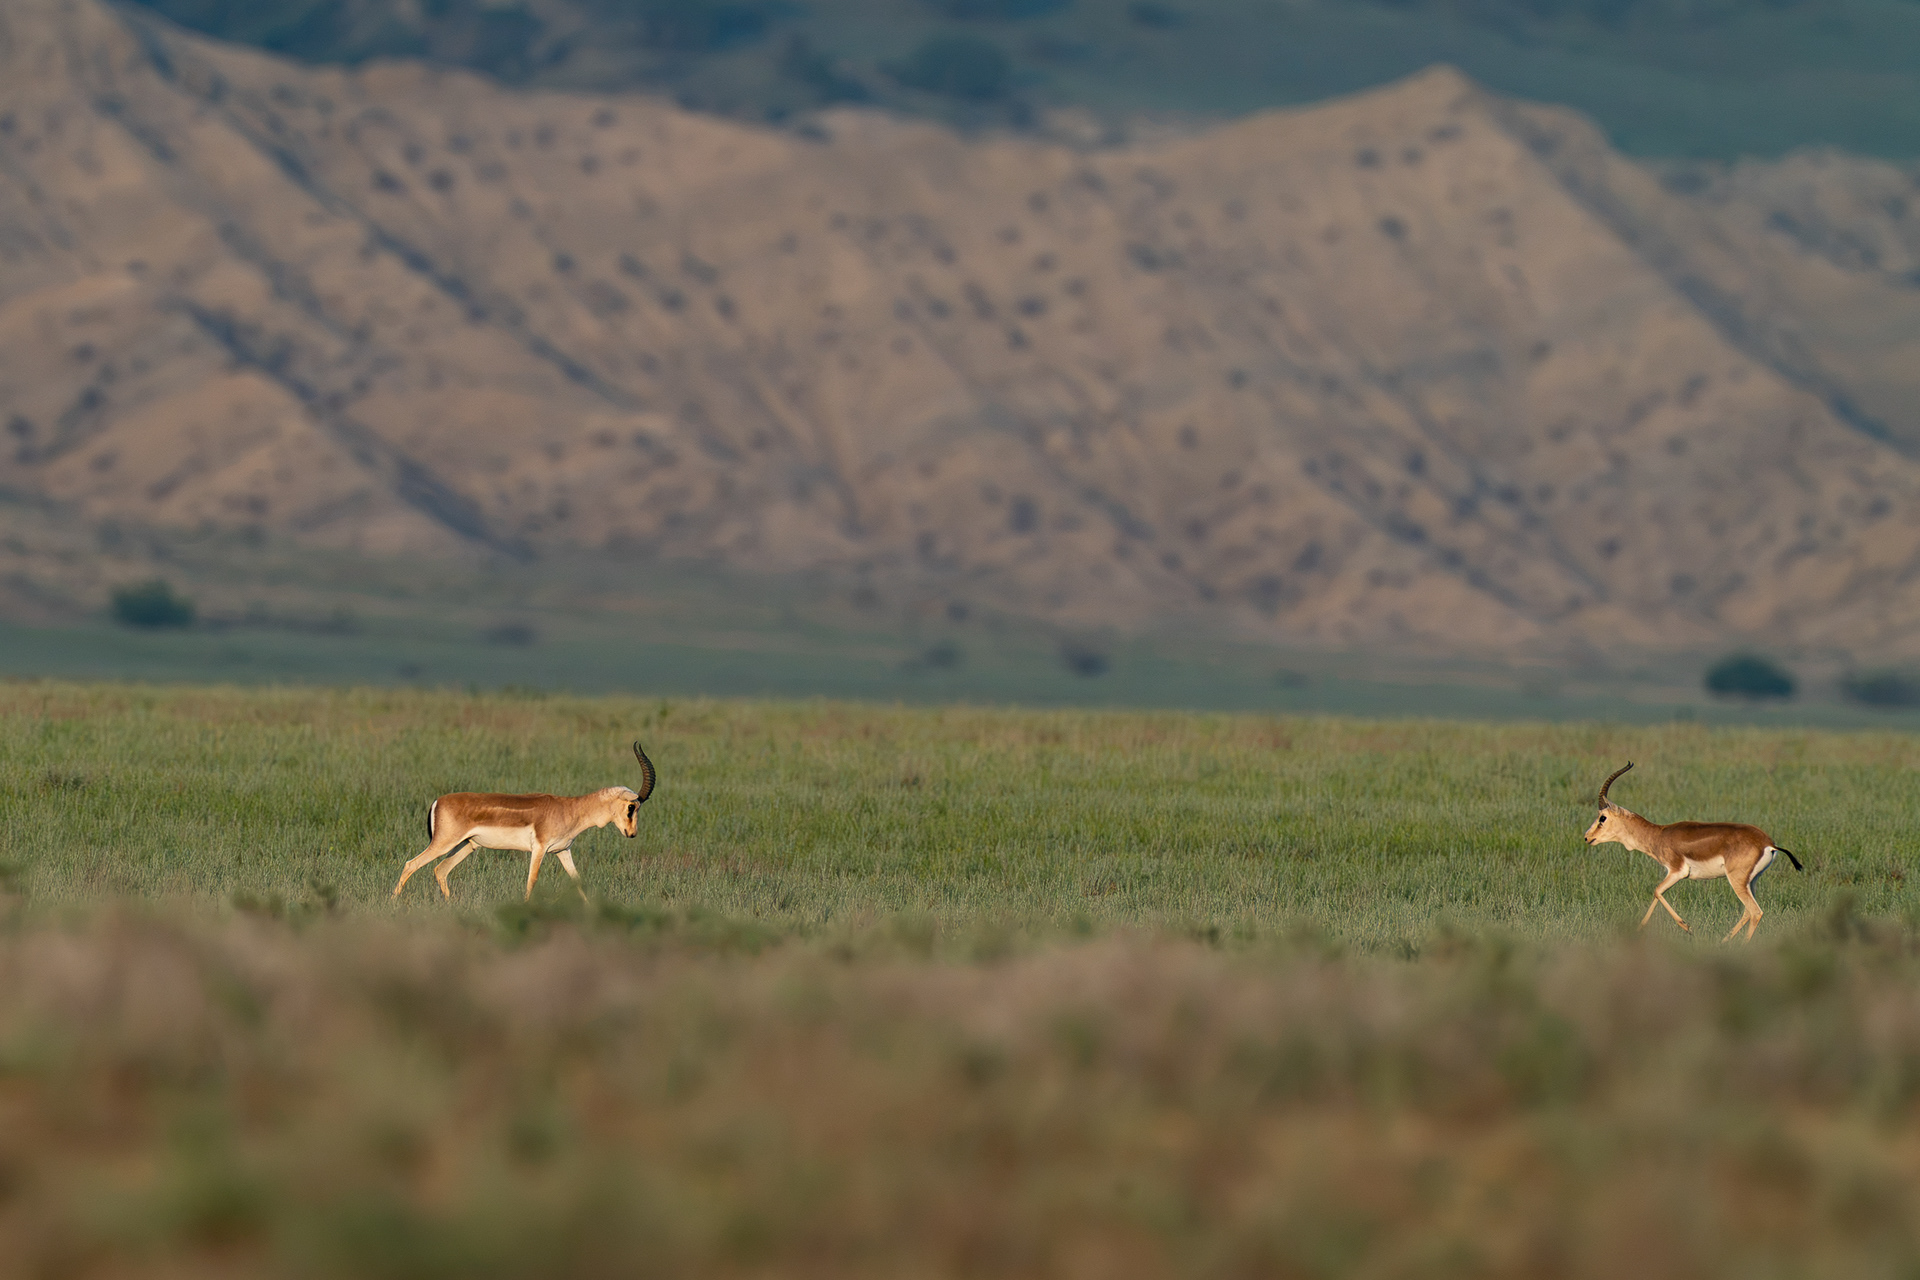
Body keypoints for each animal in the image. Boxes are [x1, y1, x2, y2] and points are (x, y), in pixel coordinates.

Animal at [392, 742, 657, 902]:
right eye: (632, 807)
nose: (632, 833)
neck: (570, 809)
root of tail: (438, 801)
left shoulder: (562, 851)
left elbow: (577, 880)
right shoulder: (539, 848)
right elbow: (532, 881)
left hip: (467, 845)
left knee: (440, 870)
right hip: (444, 843)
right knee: (411, 864)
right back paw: (394, 902)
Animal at [1583, 761, 1801, 941]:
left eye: (1602, 818)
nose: (1587, 837)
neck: (1659, 835)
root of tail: (1768, 843)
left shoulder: (1677, 871)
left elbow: (1657, 890)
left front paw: (1687, 927)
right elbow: (1656, 893)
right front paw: (1639, 929)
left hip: (1737, 880)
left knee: (1755, 912)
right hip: (1751, 881)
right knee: (1748, 911)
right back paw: (1723, 941)